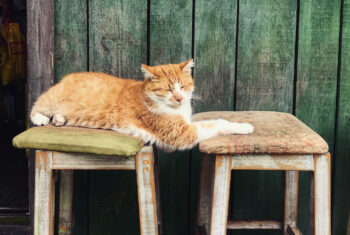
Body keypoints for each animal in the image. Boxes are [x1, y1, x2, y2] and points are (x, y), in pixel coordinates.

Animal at [30, 58, 254, 151]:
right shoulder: (181, 132)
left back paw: (59, 119)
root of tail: (68, 76)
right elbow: (218, 122)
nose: (179, 98)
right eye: (168, 89)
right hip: (50, 100)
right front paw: (245, 126)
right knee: (36, 106)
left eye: (182, 86)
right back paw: (42, 119)